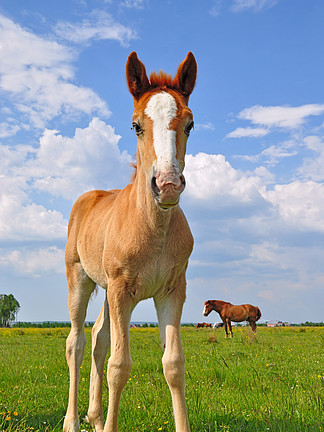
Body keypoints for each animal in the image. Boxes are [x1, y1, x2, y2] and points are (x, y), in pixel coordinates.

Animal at [62, 51, 196, 432]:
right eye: (136, 125)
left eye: (190, 124)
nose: (167, 184)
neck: (153, 229)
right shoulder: (122, 290)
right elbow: (119, 366)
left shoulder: (172, 291)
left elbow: (174, 364)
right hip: (80, 278)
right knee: (76, 343)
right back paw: (72, 421)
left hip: (107, 289)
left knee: (98, 338)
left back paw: (94, 417)